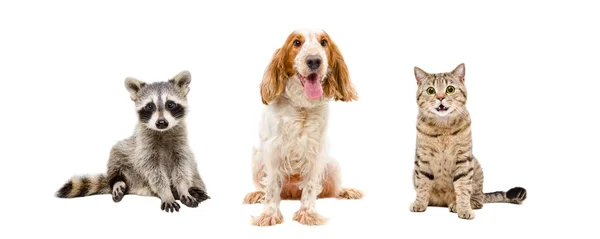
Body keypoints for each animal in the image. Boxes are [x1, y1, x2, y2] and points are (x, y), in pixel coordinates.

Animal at [56, 70, 210, 212]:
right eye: (149, 106)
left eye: (170, 104)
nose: (161, 123)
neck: (163, 132)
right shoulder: (143, 147)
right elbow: (154, 173)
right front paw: (166, 193)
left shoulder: (181, 145)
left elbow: (182, 167)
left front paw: (183, 189)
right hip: (130, 161)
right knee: (117, 153)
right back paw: (118, 182)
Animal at [410, 62, 528, 219]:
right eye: (430, 91)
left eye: (450, 89)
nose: (440, 97)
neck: (443, 127)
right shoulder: (422, 159)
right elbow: (423, 185)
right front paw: (419, 203)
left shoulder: (464, 159)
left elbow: (463, 188)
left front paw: (464, 209)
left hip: (475, 167)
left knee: (479, 199)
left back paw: (456, 204)